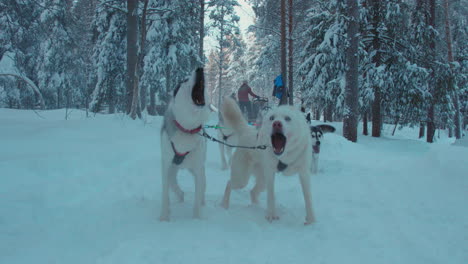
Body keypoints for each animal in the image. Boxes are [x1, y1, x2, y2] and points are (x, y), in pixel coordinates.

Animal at [159, 67, 210, 221]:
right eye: (184, 80)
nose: (200, 68)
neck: (187, 128)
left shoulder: (198, 169)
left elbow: (197, 196)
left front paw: (197, 219)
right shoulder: (166, 164)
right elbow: (165, 194)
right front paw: (163, 218)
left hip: (198, 169)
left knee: (202, 187)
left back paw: (201, 201)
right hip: (171, 169)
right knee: (173, 185)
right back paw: (178, 198)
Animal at [221, 97, 316, 225]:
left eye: (287, 118)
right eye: (272, 118)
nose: (276, 123)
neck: (285, 156)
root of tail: (247, 131)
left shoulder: (304, 173)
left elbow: (308, 198)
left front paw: (311, 220)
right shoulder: (270, 173)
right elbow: (271, 196)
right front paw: (271, 215)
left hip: (262, 181)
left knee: (253, 192)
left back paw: (256, 206)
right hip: (242, 179)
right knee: (229, 184)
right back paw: (224, 205)